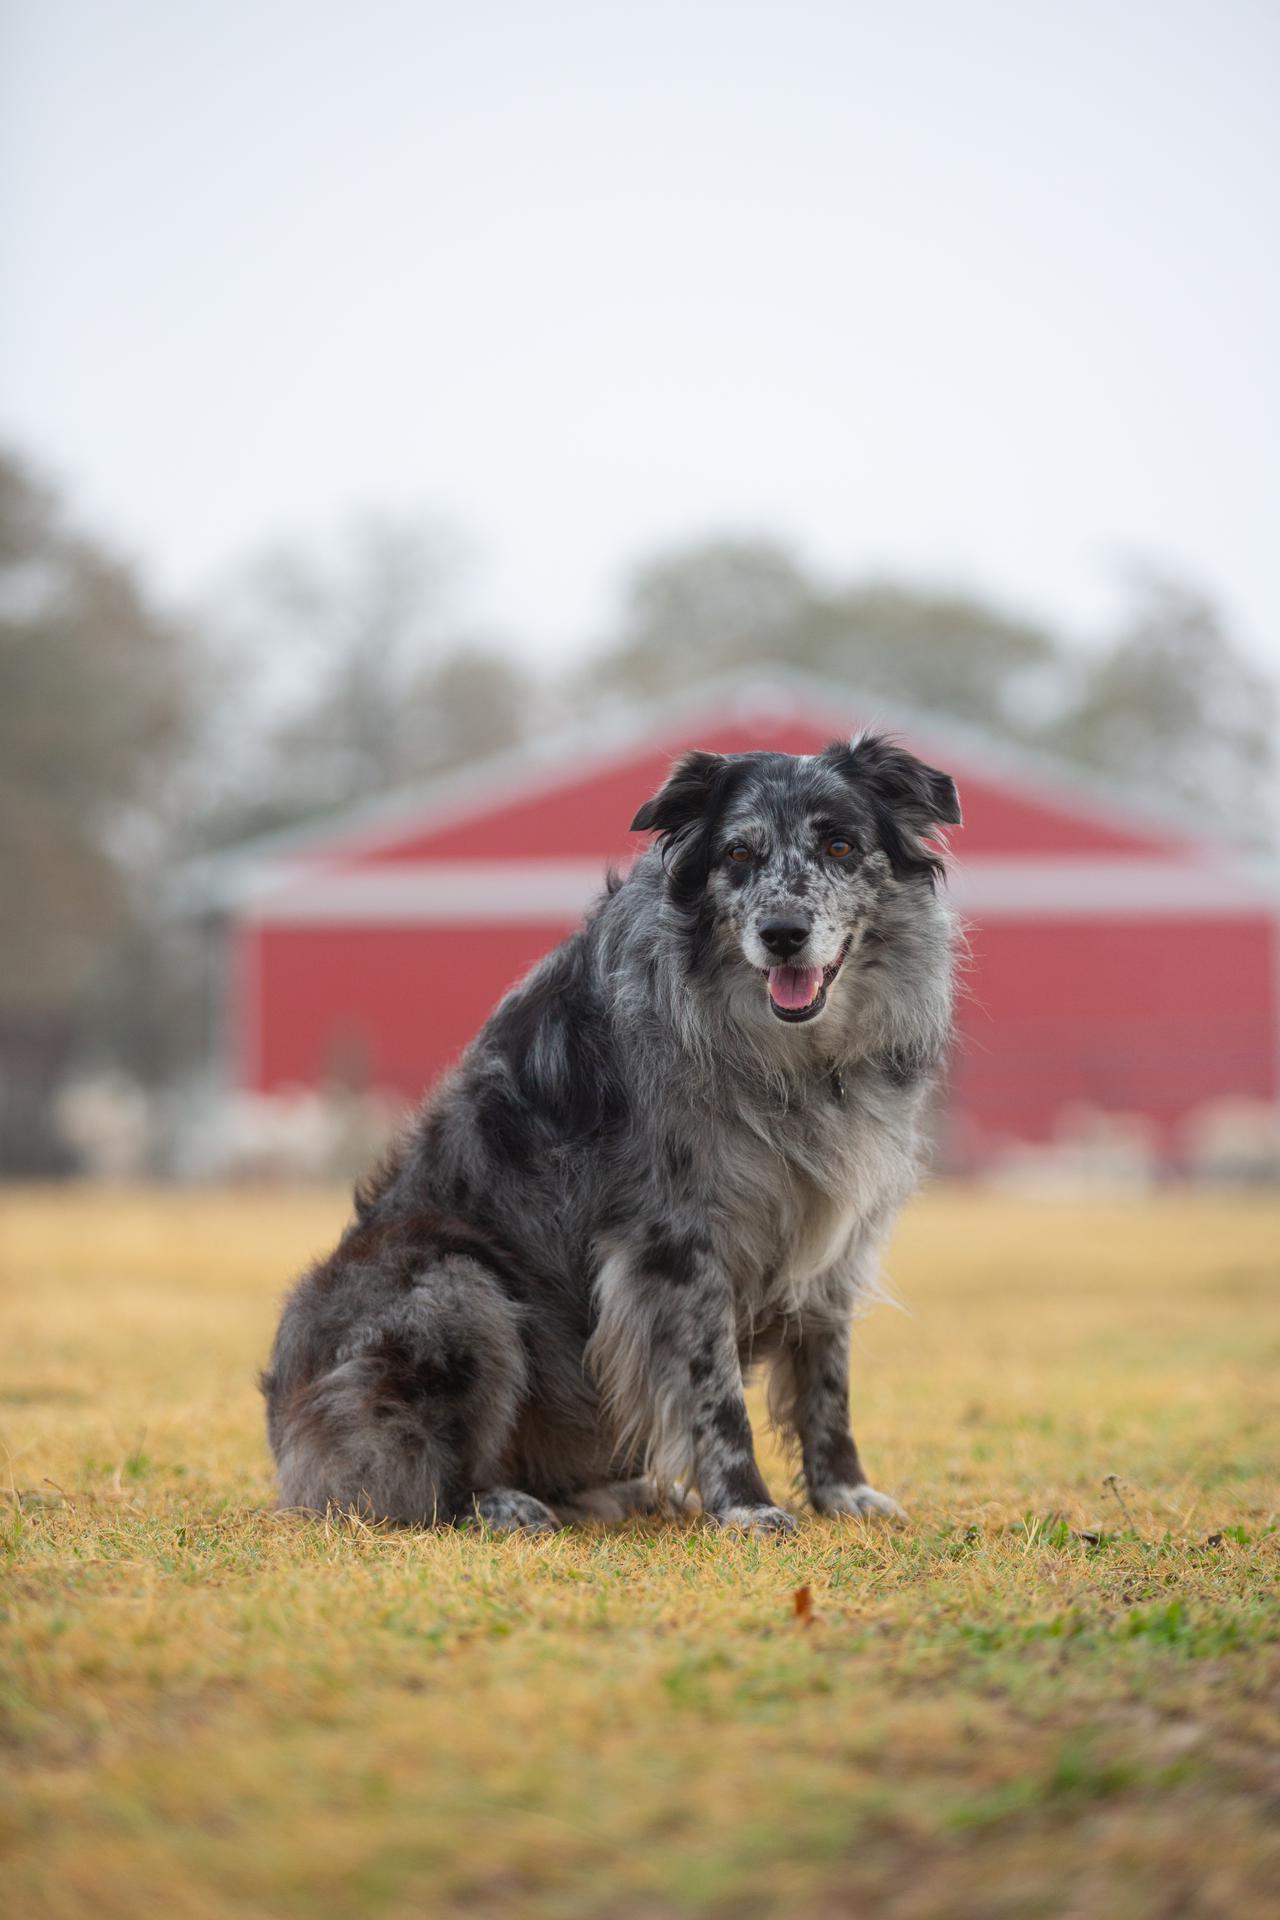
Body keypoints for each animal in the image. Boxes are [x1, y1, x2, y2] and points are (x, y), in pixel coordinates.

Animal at [262, 725, 959, 1536]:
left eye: (840, 845)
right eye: (739, 854)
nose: (782, 934)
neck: (793, 1058)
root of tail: (289, 1428)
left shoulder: (834, 1237)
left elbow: (826, 1379)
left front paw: (842, 1492)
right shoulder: (675, 1240)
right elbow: (715, 1388)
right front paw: (745, 1504)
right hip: (456, 1286)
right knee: (419, 1478)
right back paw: (499, 1503)